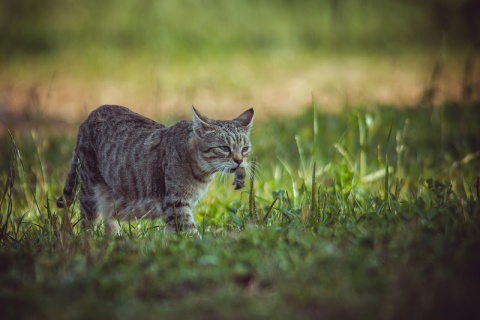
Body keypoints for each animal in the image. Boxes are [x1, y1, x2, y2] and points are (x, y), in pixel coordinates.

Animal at [56, 105, 255, 235]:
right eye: (224, 148)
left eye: (245, 148)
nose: (239, 161)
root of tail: (89, 116)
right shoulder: (175, 203)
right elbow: (190, 234)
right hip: (89, 190)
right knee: (86, 224)